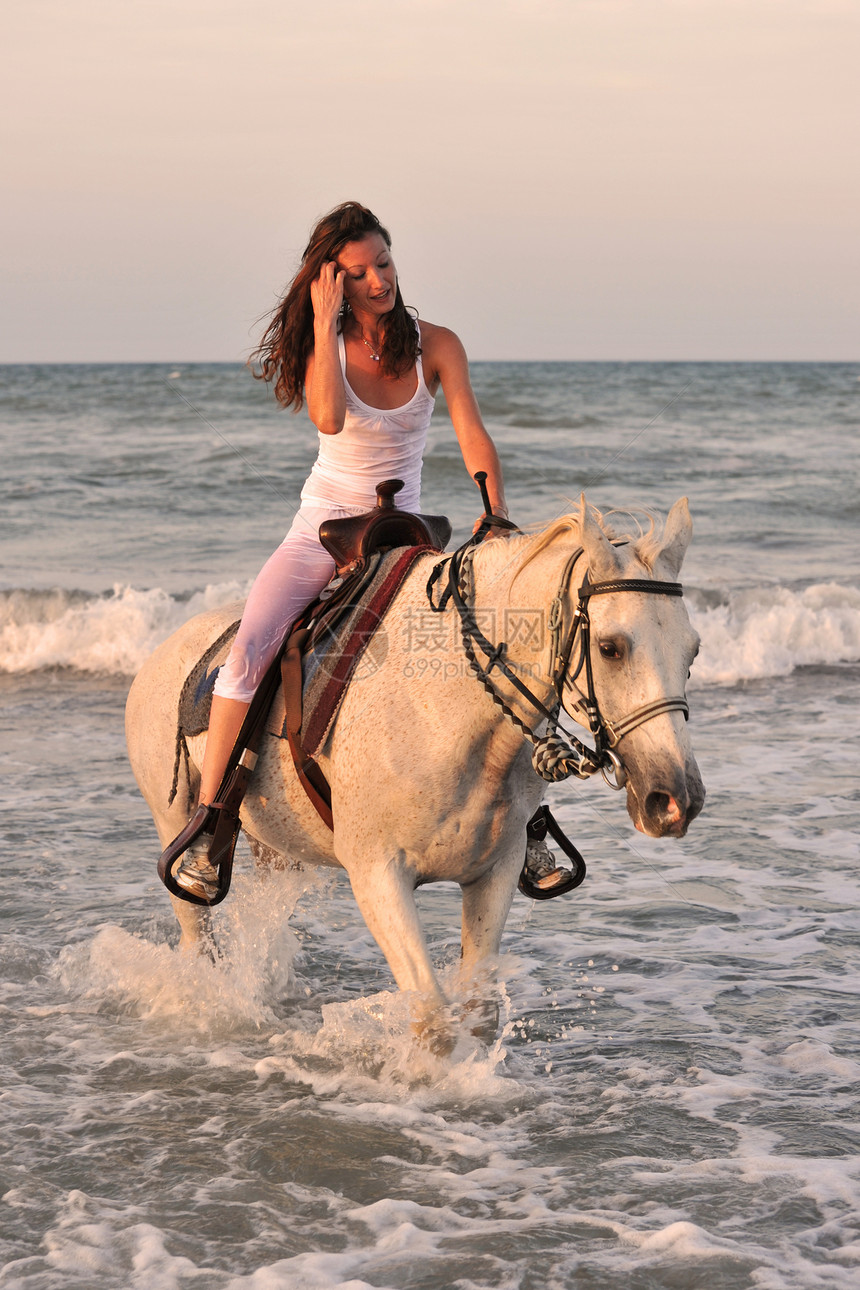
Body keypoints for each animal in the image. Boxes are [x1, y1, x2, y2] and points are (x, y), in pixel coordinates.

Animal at [127, 495, 706, 1047]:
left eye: (693, 651)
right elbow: (432, 1017)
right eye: (610, 648)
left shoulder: (493, 873)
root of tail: (162, 651)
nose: (676, 800)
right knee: (198, 936)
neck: (445, 710)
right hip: (174, 817)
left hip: (275, 845)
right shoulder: (377, 875)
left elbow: (478, 1014)